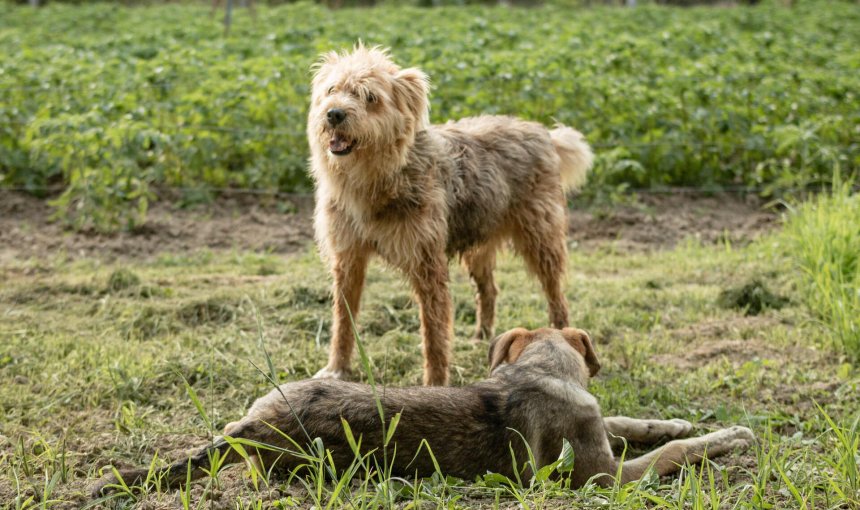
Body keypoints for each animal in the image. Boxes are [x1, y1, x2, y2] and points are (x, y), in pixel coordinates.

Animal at [92, 328, 752, 496]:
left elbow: (634, 424)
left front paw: (675, 421)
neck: (537, 368)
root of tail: (245, 428)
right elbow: (670, 453)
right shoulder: (604, 477)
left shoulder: (599, 432)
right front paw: (728, 435)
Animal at [306, 44, 596, 386]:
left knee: (556, 294)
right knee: (489, 290)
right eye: (331, 90)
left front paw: (434, 384)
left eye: (370, 97)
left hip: (542, 239)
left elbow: (434, 335)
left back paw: (562, 333)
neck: (374, 180)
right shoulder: (348, 259)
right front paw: (336, 369)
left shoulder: (428, 265)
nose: (334, 114)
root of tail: (542, 132)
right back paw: (482, 335)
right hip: (480, 243)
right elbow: (343, 322)